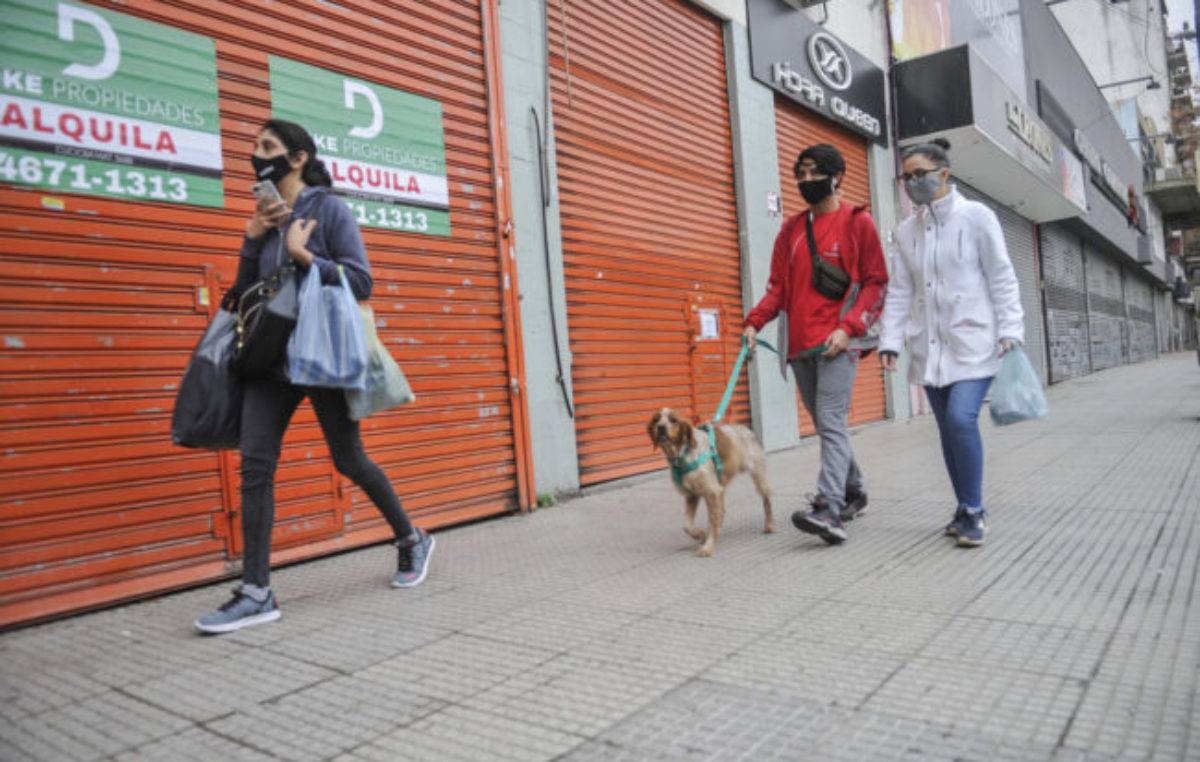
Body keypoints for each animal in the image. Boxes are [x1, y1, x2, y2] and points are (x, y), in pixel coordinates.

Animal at [648, 408, 777, 556]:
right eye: (656, 419)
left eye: (673, 420)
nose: (661, 428)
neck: (682, 454)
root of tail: (747, 429)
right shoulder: (692, 494)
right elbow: (687, 525)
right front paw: (700, 534)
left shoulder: (711, 491)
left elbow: (712, 521)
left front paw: (708, 547)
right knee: (722, 511)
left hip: (758, 476)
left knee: (766, 500)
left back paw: (769, 524)